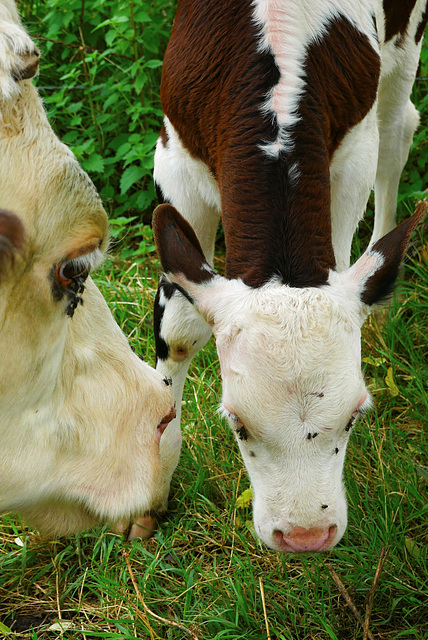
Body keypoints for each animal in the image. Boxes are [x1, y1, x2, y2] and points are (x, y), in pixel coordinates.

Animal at [152, 0, 426, 552]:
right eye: (237, 424)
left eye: (355, 415)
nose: (305, 536)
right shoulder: (175, 156)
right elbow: (180, 330)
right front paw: (153, 486)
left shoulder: (351, 157)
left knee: (397, 130)